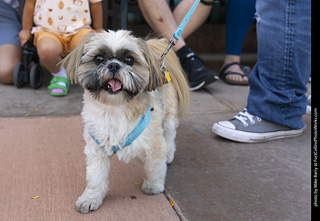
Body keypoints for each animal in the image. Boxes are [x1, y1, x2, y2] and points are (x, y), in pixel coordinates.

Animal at [62, 30, 190, 213]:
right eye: (99, 58)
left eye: (129, 60)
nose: (114, 65)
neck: (115, 109)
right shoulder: (96, 149)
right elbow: (95, 178)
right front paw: (90, 199)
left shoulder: (155, 144)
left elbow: (154, 168)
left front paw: (153, 186)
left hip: (168, 117)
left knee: (170, 135)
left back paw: (169, 153)